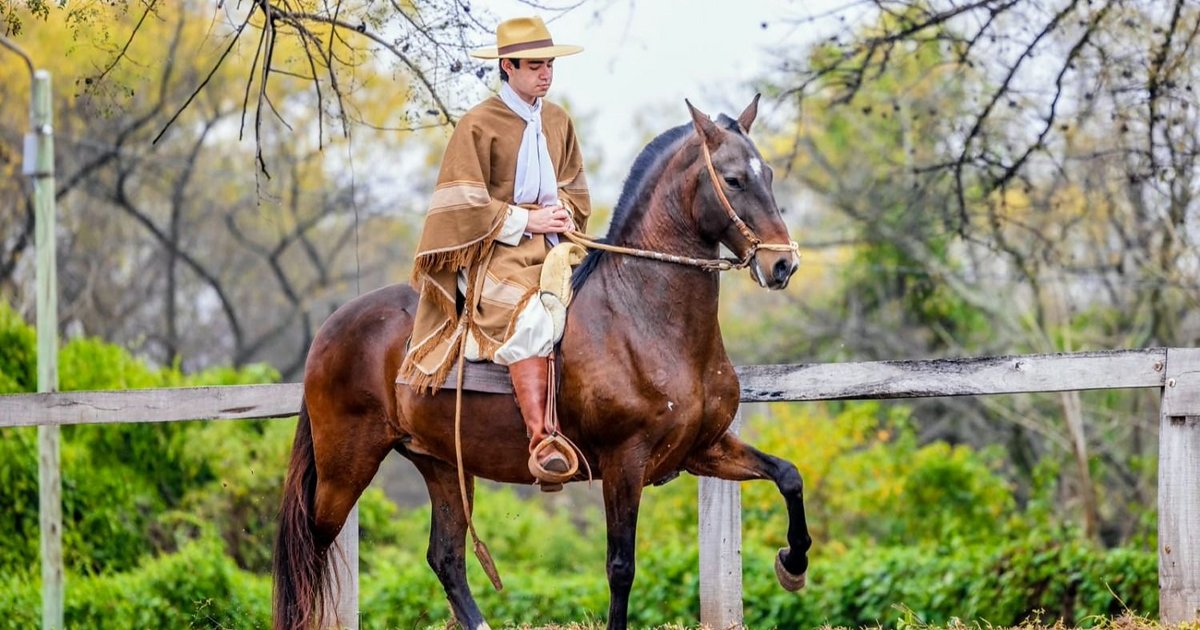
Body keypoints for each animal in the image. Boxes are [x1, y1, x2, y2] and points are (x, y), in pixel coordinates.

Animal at [273, 95, 811, 630]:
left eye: (768, 174)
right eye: (734, 179)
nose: (783, 264)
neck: (642, 316)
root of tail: (332, 327)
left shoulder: (704, 449)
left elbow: (788, 475)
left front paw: (793, 562)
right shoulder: (624, 463)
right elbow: (621, 567)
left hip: (441, 463)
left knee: (445, 558)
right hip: (345, 467)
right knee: (311, 547)